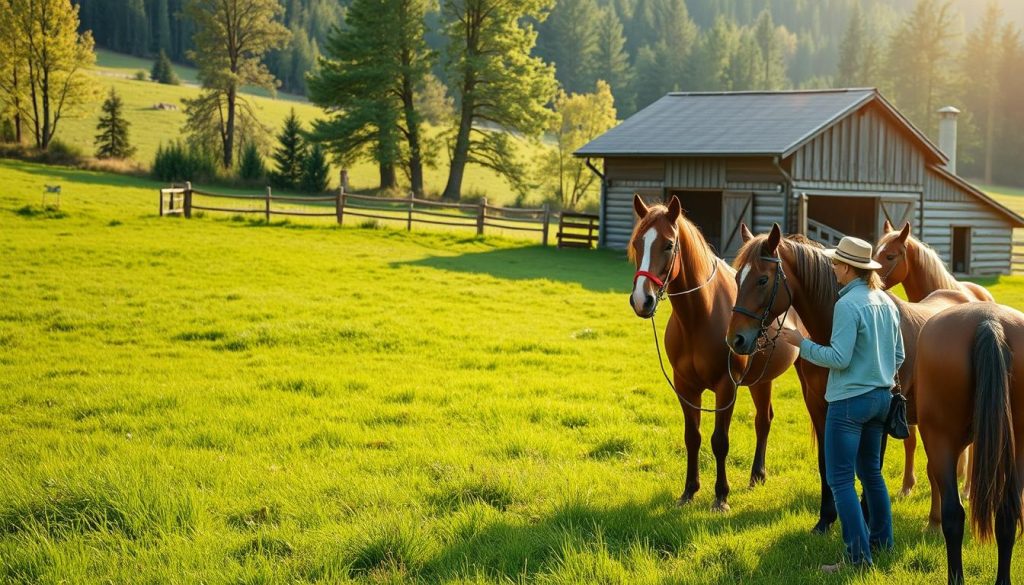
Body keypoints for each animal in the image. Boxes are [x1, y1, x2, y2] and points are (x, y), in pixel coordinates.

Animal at [626, 196, 802, 512]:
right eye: (637, 243)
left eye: (668, 244)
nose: (641, 300)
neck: (700, 316)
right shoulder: (685, 386)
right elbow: (692, 437)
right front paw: (689, 491)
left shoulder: (726, 386)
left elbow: (720, 441)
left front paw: (721, 496)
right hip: (761, 380)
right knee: (764, 419)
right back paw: (757, 475)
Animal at [724, 223, 970, 532]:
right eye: (737, 277)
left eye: (762, 279)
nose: (736, 339)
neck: (833, 337)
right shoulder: (820, 407)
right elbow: (826, 463)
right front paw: (825, 519)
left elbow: (870, 467)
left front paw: (867, 519)